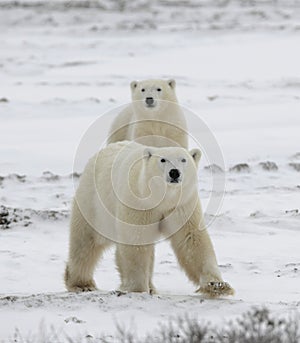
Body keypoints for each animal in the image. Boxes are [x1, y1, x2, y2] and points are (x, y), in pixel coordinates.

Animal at [65, 141, 234, 296]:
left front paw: (217, 285)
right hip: (95, 204)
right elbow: (136, 240)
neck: (162, 198)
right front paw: (137, 288)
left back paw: (151, 287)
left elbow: (191, 239)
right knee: (86, 242)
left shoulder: (181, 205)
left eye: (183, 159)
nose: (174, 172)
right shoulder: (139, 203)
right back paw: (81, 284)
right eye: (163, 160)